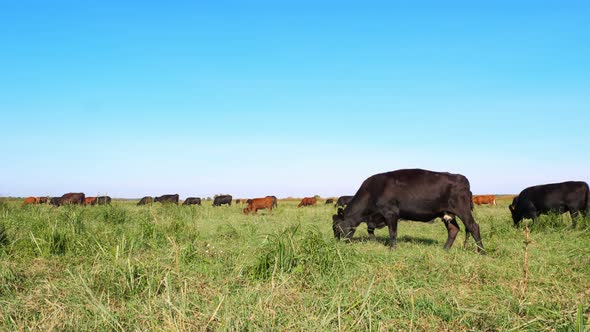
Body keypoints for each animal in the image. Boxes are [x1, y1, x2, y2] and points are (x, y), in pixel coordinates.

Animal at [332, 169, 486, 254]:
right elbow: (371, 231)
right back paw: (445, 249)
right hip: (446, 213)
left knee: (473, 227)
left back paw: (482, 252)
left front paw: (392, 250)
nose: (337, 244)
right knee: (453, 229)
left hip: (462, 209)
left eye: (337, 227)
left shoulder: (391, 213)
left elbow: (392, 233)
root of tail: (461, 177)